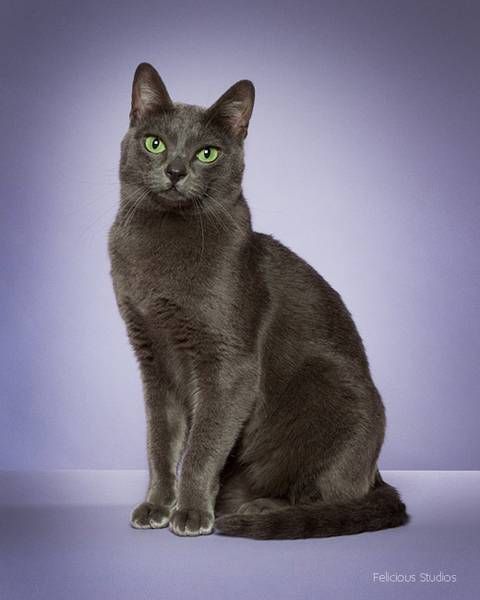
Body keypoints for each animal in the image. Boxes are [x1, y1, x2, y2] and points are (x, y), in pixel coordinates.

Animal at [107, 62, 406, 540]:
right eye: (155, 143)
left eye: (207, 153)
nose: (175, 170)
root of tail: (378, 473)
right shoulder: (152, 355)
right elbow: (160, 443)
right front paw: (156, 505)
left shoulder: (231, 364)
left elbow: (203, 445)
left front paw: (191, 513)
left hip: (335, 392)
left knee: (330, 497)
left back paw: (256, 510)